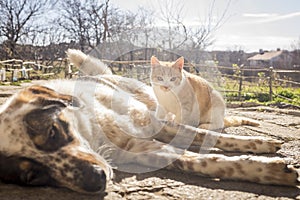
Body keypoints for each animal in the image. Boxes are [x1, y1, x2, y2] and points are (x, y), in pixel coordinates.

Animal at [0, 48, 298, 194]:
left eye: (52, 131)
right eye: (32, 176)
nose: (96, 181)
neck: (96, 132)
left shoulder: (158, 123)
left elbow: (216, 139)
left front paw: (260, 146)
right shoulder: (140, 150)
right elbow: (198, 161)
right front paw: (266, 171)